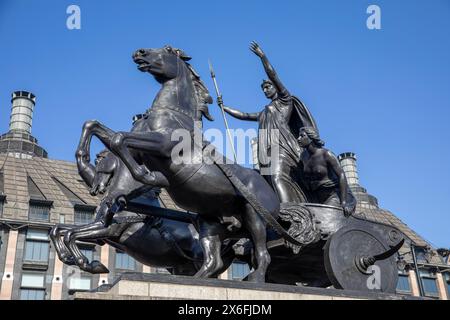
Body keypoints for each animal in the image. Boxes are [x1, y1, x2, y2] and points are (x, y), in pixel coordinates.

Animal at [78, 45, 282, 282]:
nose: (140, 52)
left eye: (167, 49)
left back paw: (255, 278)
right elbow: (98, 128)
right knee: (213, 261)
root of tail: (274, 195)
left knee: (262, 253)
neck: (173, 115)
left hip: (254, 217)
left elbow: (119, 139)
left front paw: (147, 177)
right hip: (210, 223)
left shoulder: (163, 144)